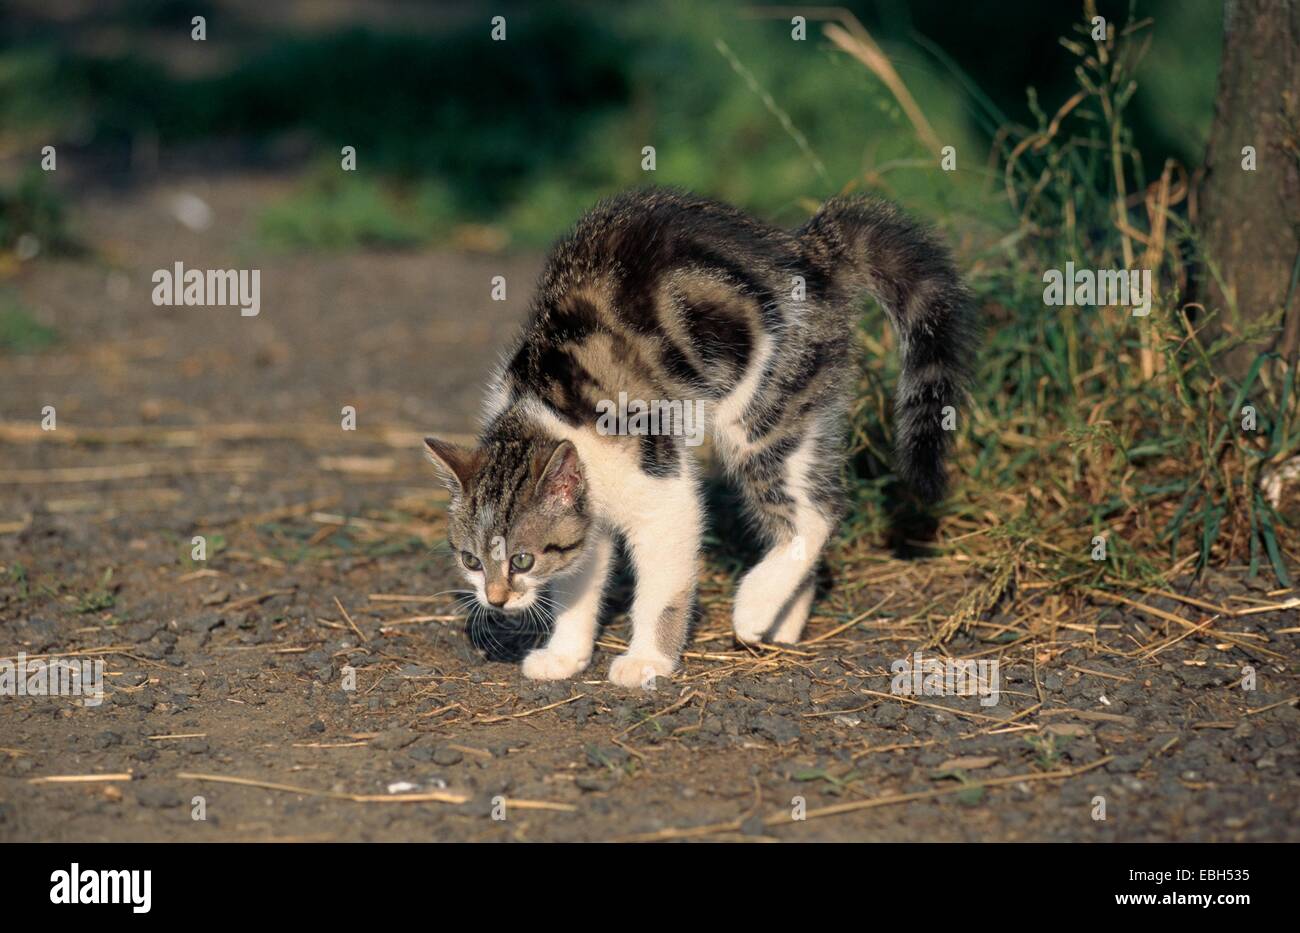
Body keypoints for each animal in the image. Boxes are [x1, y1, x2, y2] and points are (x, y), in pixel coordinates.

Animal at [426, 188, 977, 686]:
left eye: (522, 558)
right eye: (470, 560)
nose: (496, 599)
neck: (544, 414)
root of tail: (809, 247)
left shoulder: (661, 486)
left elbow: (663, 584)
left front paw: (648, 659)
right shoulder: (588, 518)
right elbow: (580, 577)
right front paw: (565, 654)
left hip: (761, 411)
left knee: (819, 513)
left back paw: (754, 605)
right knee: (802, 508)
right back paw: (780, 621)